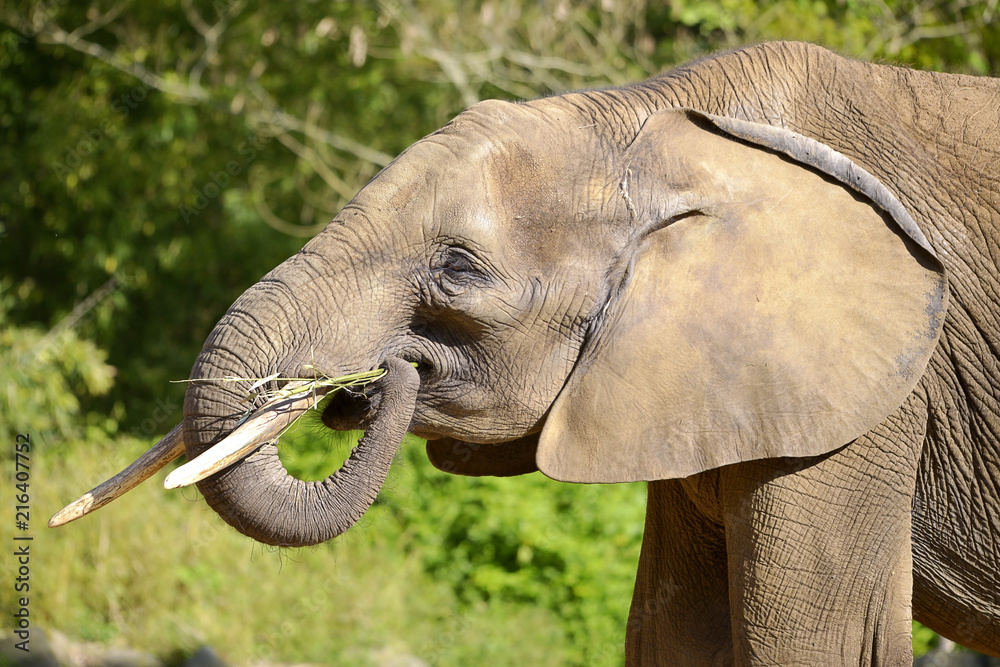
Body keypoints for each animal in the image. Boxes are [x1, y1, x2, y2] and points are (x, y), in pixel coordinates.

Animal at [52, 41, 1000, 665]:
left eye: (458, 269)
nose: (380, 375)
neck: (663, 125)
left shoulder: (875, 400)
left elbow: (815, 641)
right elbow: (672, 634)